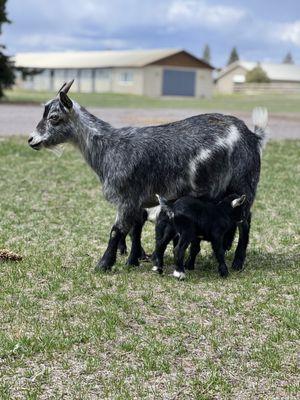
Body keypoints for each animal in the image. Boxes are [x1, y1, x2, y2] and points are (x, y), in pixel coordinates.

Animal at [27, 79, 268, 272]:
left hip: (245, 183)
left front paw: (103, 265)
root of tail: (253, 135)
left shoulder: (127, 198)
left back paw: (237, 262)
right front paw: (133, 260)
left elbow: (117, 230)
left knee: (245, 222)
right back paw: (226, 248)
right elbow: (135, 229)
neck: (109, 148)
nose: (31, 140)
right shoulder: (139, 200)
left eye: (54, 117)